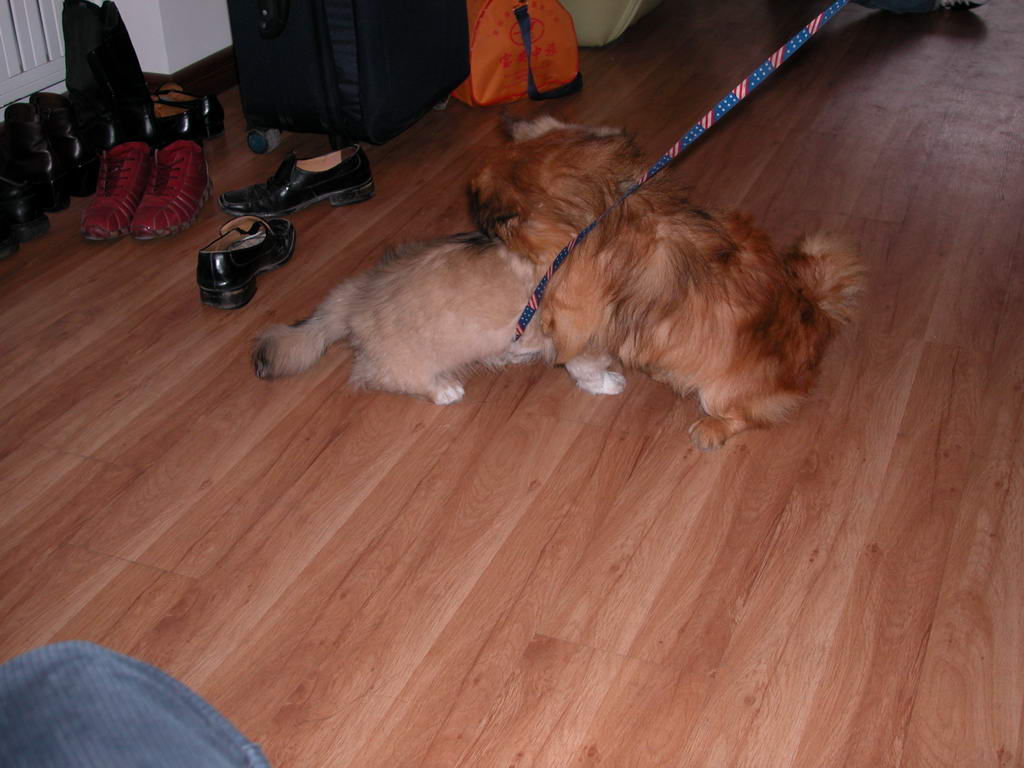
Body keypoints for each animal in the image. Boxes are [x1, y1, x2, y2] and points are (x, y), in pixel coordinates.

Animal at [469, 116, 865, 449]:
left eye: (487, 220)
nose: (480, 231)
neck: (604, 208)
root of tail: (816, 313)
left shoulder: (575, 309)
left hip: (720, 390)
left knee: (743, 416)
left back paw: (710, 429)